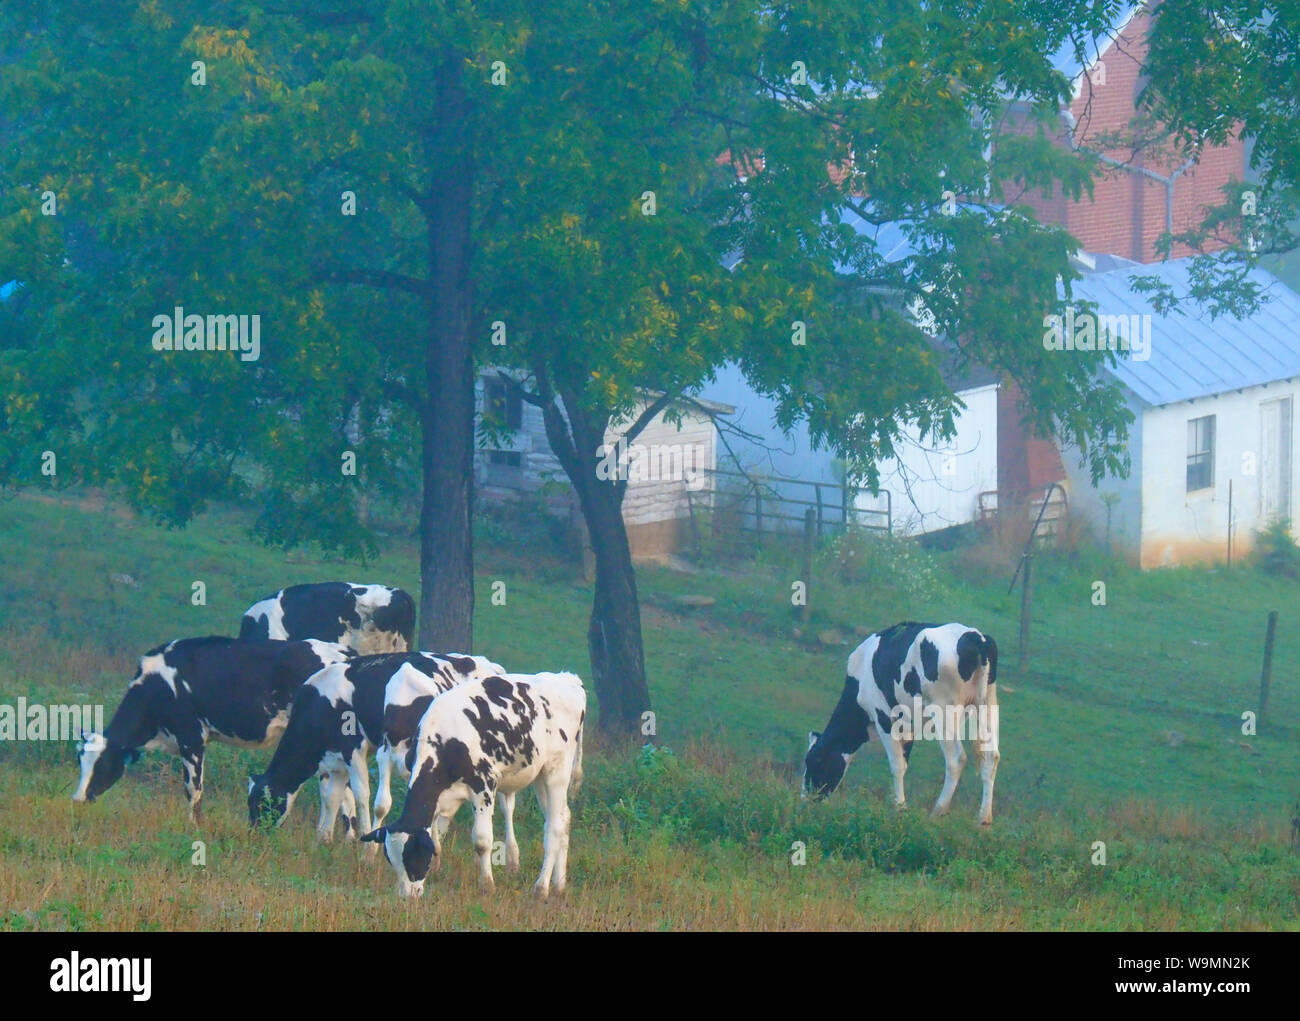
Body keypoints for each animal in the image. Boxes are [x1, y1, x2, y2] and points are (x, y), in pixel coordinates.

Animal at [74, 637, 351, 822]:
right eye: (81, 762)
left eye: (102, 764)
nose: (78, 799)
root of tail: (340, 653)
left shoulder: (192, 737)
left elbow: (193, 789)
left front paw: (194, 827)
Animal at [245, 650, 504, 842]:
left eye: (261, 803)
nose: (254, 835)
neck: (319, 702)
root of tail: (490, 666)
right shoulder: (336, 759)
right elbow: (332, 797)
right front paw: (323, 840)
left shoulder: (353, 749)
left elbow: (361, 795)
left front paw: (363, 835)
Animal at [361, 671, 585, 900]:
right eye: (391, 859)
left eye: (412, 856)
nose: (407, 896)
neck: (445, 740)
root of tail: (567, 679)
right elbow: (435, 833)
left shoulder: (485, 784)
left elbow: (482, 840)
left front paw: (487, 885)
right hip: (540, 776)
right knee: (563, 817)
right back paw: (559, 883)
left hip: (557, 770)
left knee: (554, 827)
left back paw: (541, 888)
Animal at [795, 621, 998, 827]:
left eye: (814, 760)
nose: (806, 801)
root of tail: (975, 636)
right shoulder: (908, 728)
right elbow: (904, 763)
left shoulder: (884, 717)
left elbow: (896, 765)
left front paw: (900, 809)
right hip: (988, 703)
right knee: (991, 756)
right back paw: (984, 820)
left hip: (944, 709)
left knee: (956, 759)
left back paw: (937, 812)